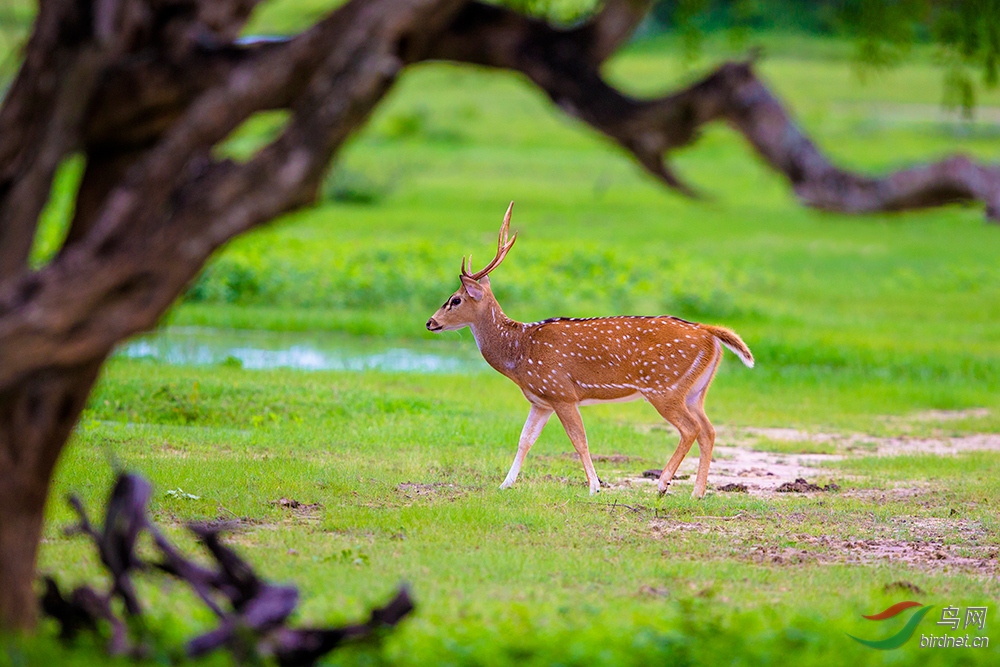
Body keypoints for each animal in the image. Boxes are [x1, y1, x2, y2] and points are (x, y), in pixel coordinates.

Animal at [426, 204, 752, 496]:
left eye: (455, 299)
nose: (430, 322)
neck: (519, 351)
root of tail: (709, 332)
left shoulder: (561, 391)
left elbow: (578, 440)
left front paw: (595, 487)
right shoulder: (541, 400)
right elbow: (524, 439)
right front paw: (505, 484)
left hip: (664, 387)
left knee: (690, 429)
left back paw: (662, 485)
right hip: (696, 390)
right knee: (709, 430)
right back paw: (697, 492)